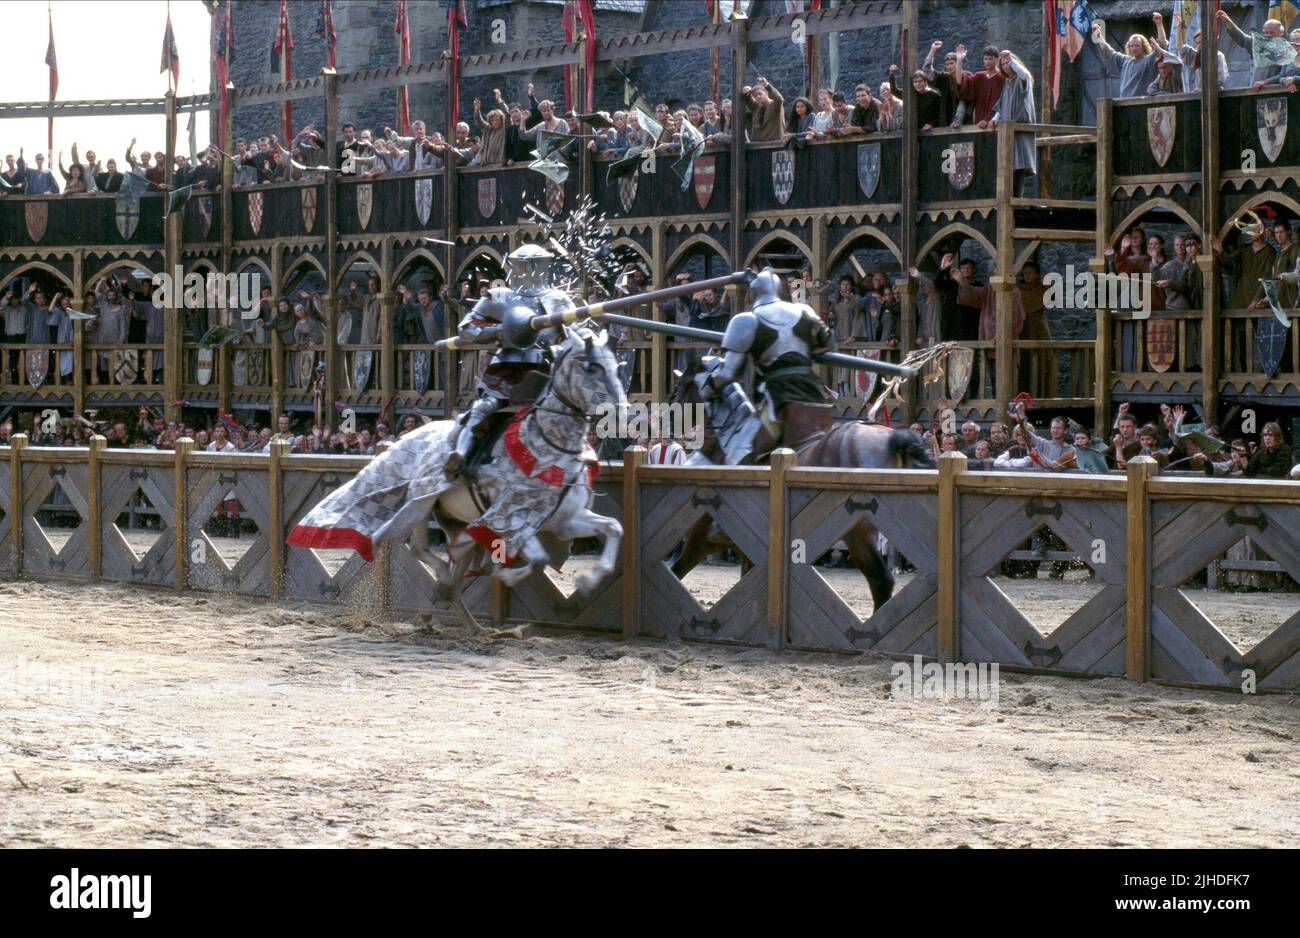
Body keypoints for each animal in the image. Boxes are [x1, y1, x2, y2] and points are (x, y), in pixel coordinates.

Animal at [670, 366, 935, 613]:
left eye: (678, 389)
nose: (667, 423)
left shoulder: (702, 539)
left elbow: (679, 571)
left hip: (857, 531)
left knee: (879, 579)